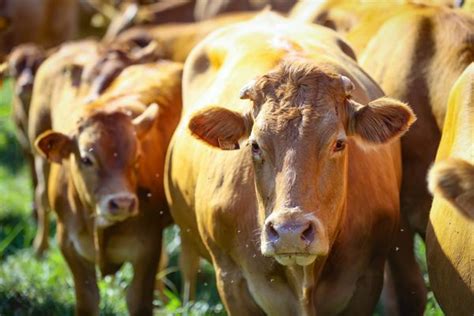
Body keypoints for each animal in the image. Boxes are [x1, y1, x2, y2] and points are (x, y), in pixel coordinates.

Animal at [30, 58, 181, 314]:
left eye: (137, 157)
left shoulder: (147, 248)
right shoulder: (69, 245)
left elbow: (138, 300)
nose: (122, 202)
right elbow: (88, 300)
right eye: (86, 159)